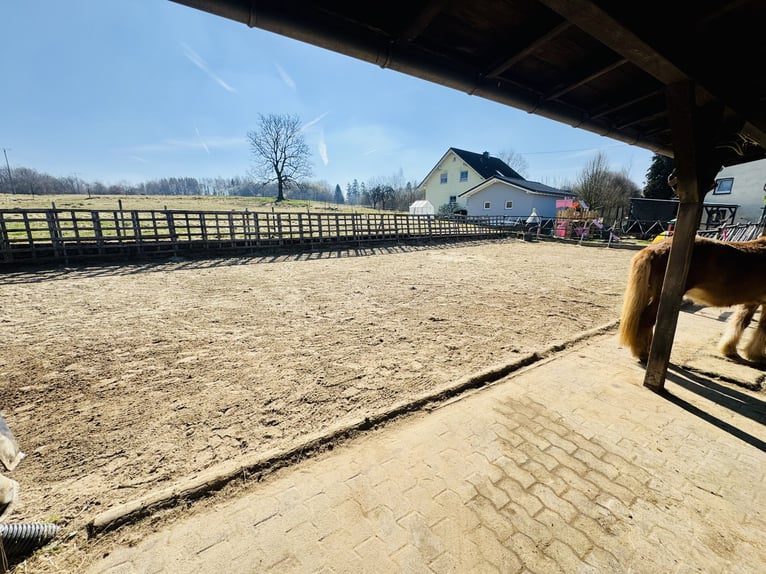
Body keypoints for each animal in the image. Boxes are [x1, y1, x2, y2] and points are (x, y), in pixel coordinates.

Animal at [618, 235, 766, 363]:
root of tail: (652, 249)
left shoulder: (751, 302)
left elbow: (741, 322)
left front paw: (730, 349)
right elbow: (761, 327)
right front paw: (756, 355)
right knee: (646, 319)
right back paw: (642, 353)